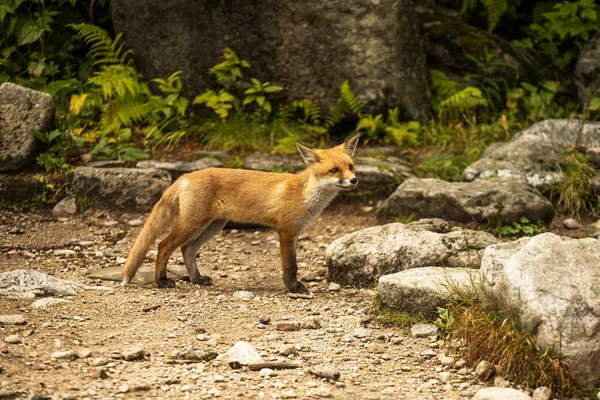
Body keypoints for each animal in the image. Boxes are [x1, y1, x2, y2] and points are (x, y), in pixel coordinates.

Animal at [119, 134, 358, 294]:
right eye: (334, 170)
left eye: (351, 167)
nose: (354, 180)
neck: (305, 194)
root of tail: (185, 176)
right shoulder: (286, 230)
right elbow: (290, 266)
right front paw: (294, 288)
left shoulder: (295, 232)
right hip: (192, 224)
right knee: (163, 246)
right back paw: (161, 281)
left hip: (213, 226)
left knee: (187, 249)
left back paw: (197, 279)